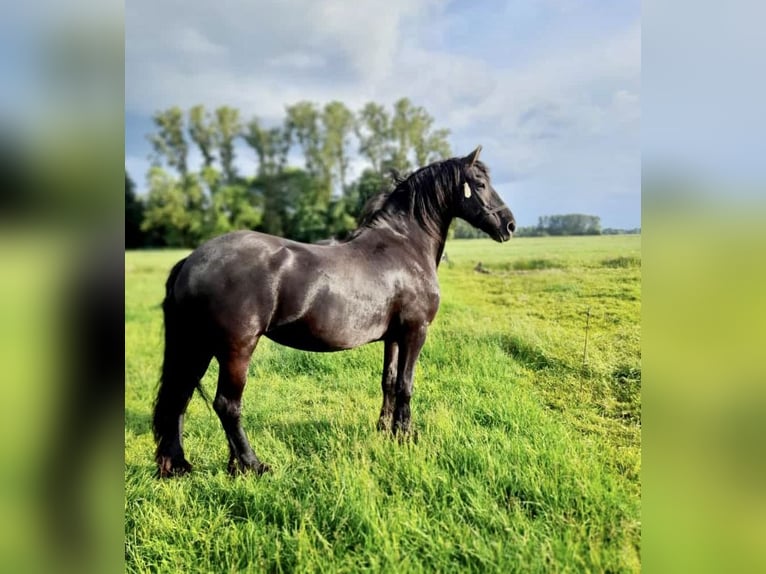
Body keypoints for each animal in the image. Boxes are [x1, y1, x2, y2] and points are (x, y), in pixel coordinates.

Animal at [153, 146, 520, 480]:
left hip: (197, 346)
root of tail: (192, 260)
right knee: (226, 405)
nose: (510, 225)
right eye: (480, 183)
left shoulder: (393, 337)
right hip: (235, 349)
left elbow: (389, 382)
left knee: (179, 398)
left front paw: (386, 432)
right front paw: (407, 437)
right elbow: (406, 385)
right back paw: (252, 465)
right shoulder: (415, 331)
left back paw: (184, 465)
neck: (405, 245)